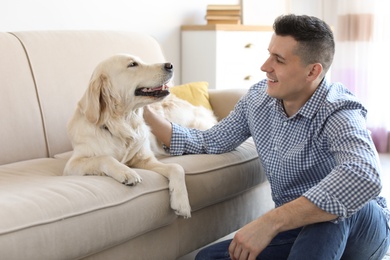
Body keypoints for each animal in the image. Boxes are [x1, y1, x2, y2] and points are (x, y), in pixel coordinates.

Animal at [62, 53, 218, 218]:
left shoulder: (145, 159)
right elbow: (104, 157)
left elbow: (176, 167)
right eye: (132, 64)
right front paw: (126, 172)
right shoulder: (72, 165)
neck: (121, 124)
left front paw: (181, 202)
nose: (170, 65)